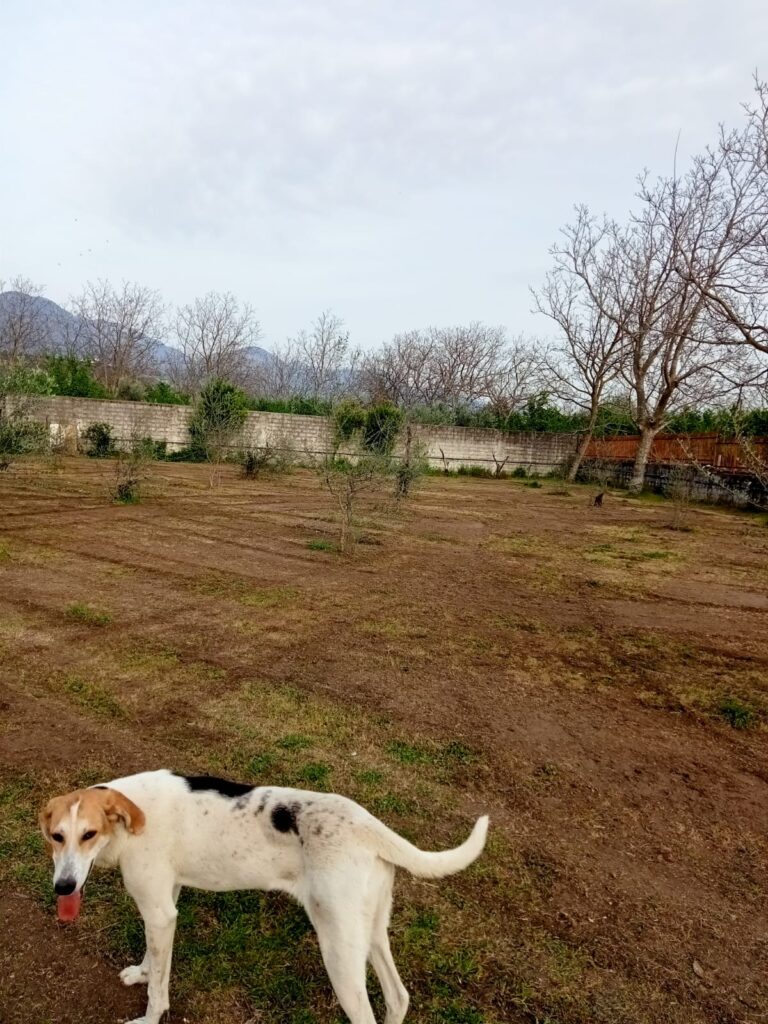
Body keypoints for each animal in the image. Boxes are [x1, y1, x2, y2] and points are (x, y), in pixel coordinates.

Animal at [39, 770, 487, 1019]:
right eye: (56, 836)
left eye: (89, 834)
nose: (63, 887)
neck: (128, 819)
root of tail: (366, 824)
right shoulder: (164, 905)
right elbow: (154, 959)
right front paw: (143, 972)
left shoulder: (159, 910)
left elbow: (158, 995)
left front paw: (149, 1016)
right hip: (371, 933)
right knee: (397, 998)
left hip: (340, 955)